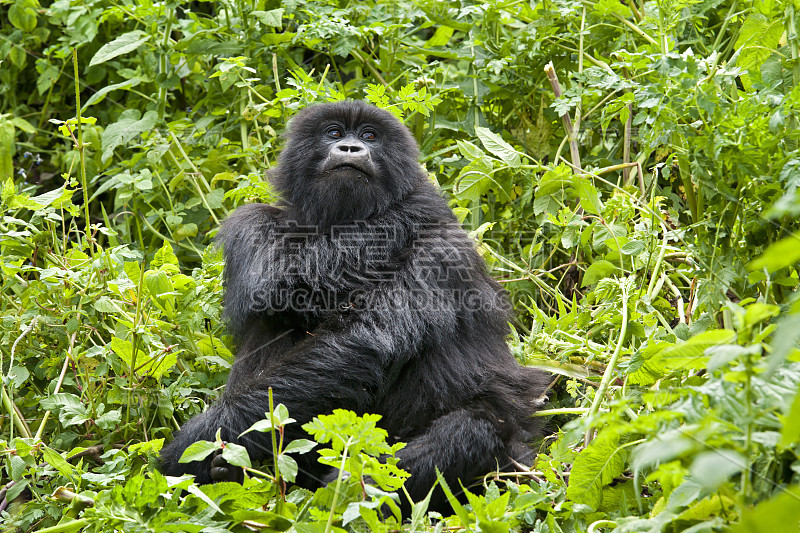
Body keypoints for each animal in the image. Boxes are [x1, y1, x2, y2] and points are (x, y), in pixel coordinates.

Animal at [161, 98, 552, 512]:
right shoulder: (251, 225)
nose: (350, 148)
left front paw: (195, 441)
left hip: (515, 455)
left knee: (470, 431)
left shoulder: (440, 248)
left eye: (369, 136)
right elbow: (281, 282)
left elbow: (364, 339)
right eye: (334, 132)